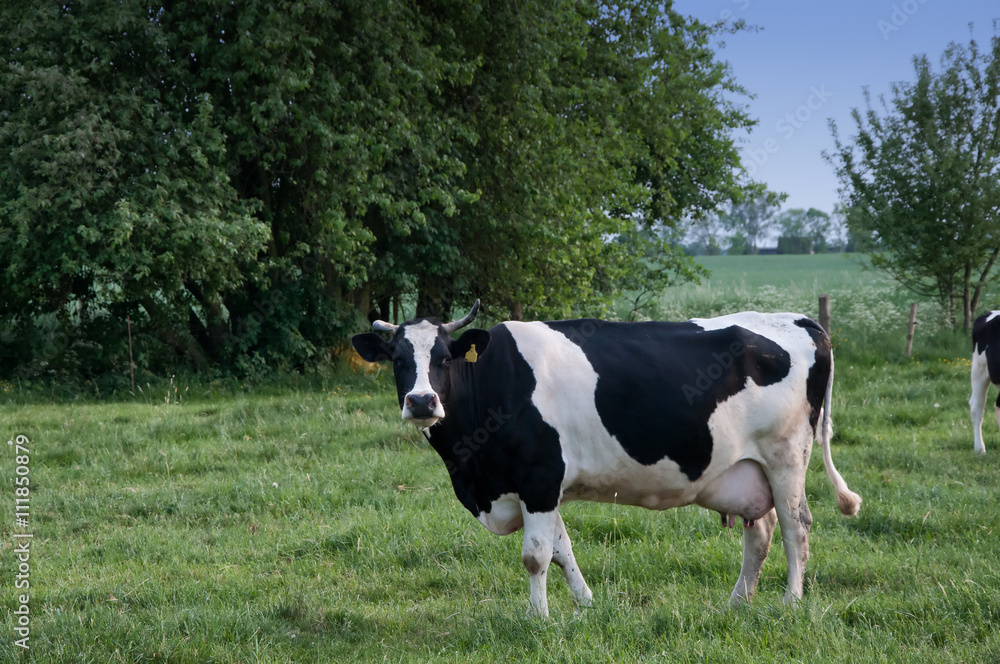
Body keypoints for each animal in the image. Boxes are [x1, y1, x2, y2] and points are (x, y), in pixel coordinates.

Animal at [352, 304, 860, 616]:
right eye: (397, 359)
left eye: (443, 358)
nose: (422, 401)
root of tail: (797, 319)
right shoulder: (540, 487)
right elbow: (562, 550)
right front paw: (586, 604)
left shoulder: (539, 477)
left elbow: (536, 556)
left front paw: (538, 619)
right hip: (747, 470)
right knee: (761, 532)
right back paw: (737, 604)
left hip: (786, 457)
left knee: (796, 527)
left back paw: (790, 604)